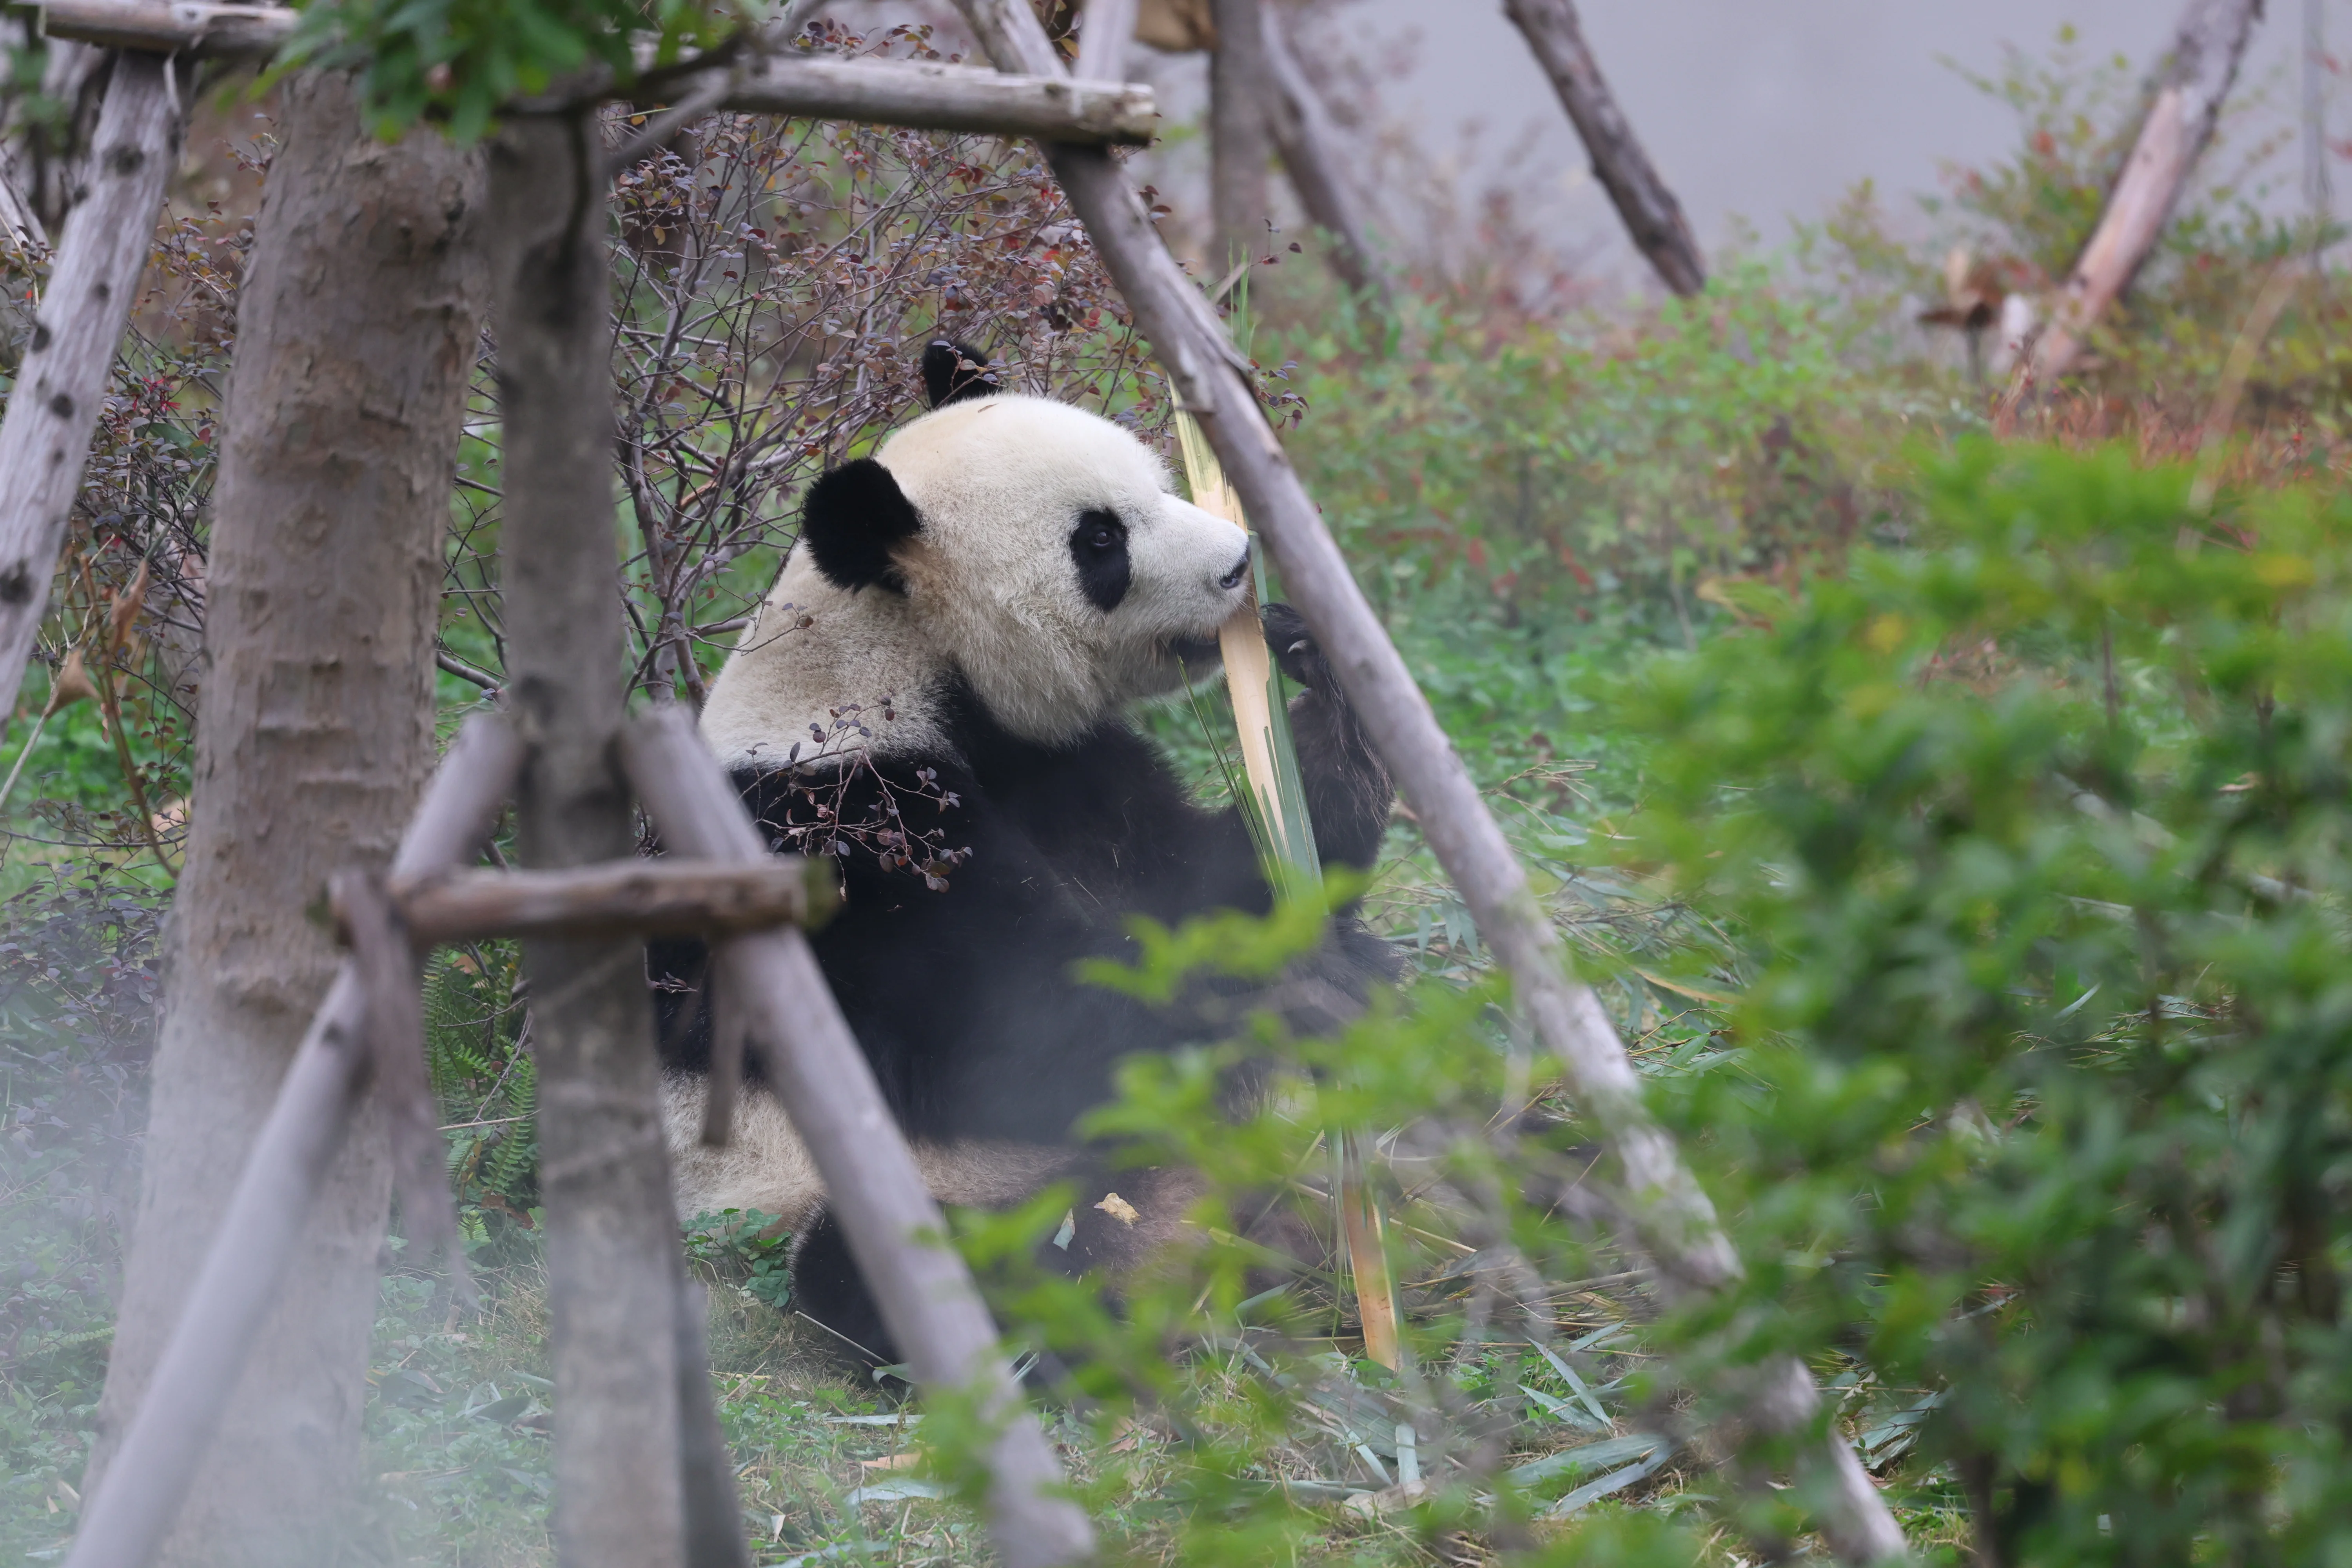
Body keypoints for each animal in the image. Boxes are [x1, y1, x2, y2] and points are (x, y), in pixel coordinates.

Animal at [653, 342, 1397, 1364]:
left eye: (1159, 481)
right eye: (1100, 542)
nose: (1240, 563)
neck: (894, 662)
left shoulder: (1069, 771)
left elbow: (1209, 895)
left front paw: (1317, 659)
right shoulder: (846, 840)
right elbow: (1032, 1034)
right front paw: (1309, 1001)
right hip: (856, 1187)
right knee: (874, 1266)